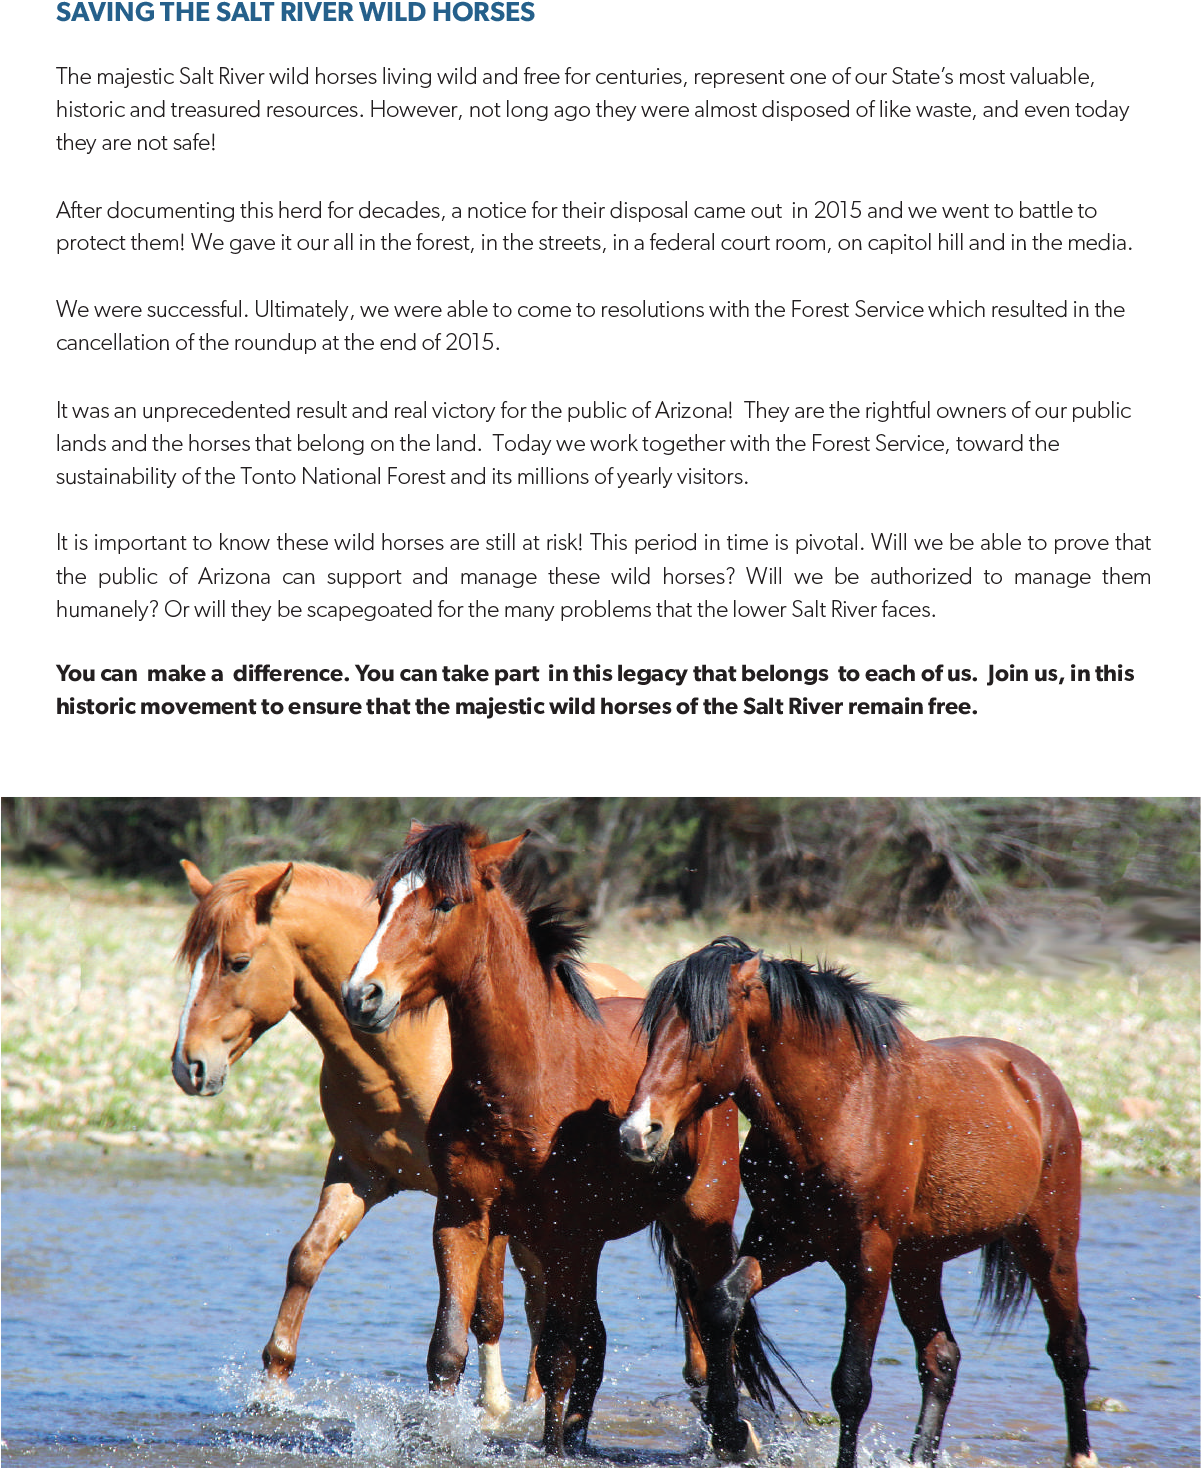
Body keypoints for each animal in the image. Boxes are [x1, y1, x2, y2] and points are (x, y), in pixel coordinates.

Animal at [171, 857, 644, 1416]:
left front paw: (492, 1408)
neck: (400, 1052)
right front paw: (273, 1385)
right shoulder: (358, 1173)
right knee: (541, 1300)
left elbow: (486, 1307)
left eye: (238, 963)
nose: (189, 1066)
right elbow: (306, 1258)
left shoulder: (478, 1200)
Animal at [340, 822, 794, 1456]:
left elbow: (557, 1353)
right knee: (601, 1342)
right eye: (384, 901)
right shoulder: (463, 1218)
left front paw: (552, 1448)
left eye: (446, 903)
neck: (523, 1085)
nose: (363, 995)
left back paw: (728, 1434)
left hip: (696, 1223)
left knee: (705, 1331)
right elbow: (448, 1350)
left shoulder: (564, 1238)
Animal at [619, 936, 1096, 1468]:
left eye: (709, 1032)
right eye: (653, 1033)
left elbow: (851, 1384)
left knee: (1069, 1348)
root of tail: (1033, 1078)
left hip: (1048, 1243)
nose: (637, 1132)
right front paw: (728, 1433)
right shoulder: (784, 1238)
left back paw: (1082, 1455)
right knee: (941, 1357)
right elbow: (722, 1304)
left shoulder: (869, 1256)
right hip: (918, 1263)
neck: (841, 1105)